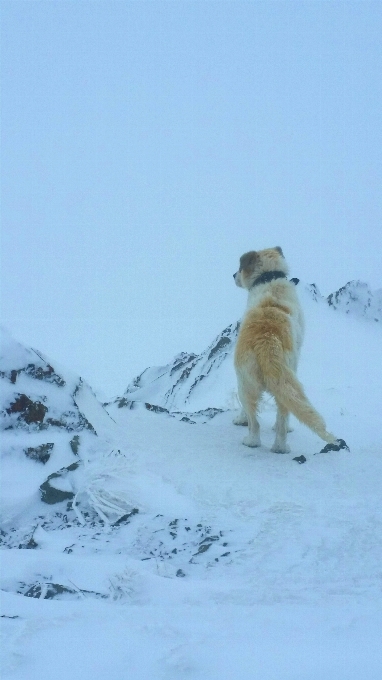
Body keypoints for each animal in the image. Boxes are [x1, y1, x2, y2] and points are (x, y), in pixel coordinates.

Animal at [231, 247, 348, 454]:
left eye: (239, 267)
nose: (232, 275)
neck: (270, 277)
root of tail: (267, 342)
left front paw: (239, 419)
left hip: (247, 383)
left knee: (256, 421)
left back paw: (253, 441)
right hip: (282, 381)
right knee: (279, 417)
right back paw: (279, 446)